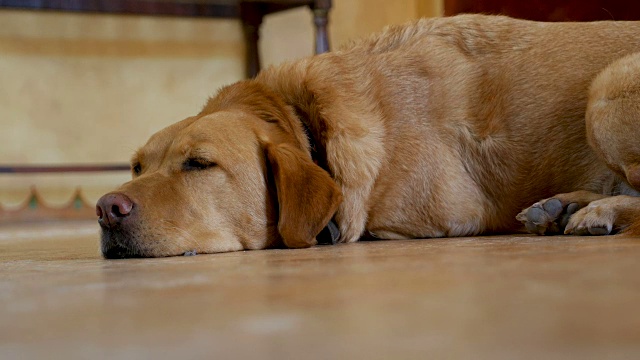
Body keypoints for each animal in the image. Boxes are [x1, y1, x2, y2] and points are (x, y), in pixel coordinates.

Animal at [95, 14, 640, 258]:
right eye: (137, 166)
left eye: (200, 164)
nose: (105, 208)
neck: (308, 119)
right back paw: (564, 207)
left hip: (605, 89)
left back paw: (595, 211)